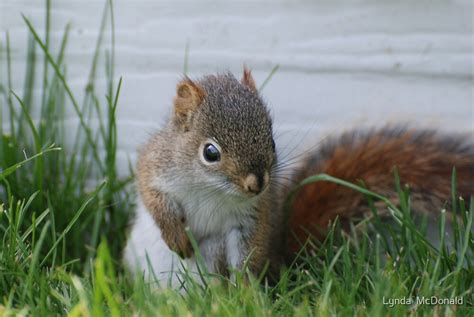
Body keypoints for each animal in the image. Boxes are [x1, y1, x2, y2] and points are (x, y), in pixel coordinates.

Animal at [123, 67, 474, 286]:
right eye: (210, 152)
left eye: (272, 141)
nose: (256, 184)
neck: (212, 191)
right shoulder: (156, 167)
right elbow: (153, 199)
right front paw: (176, 238)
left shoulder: (251, 217)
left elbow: (247, 254)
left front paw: (245, 292)